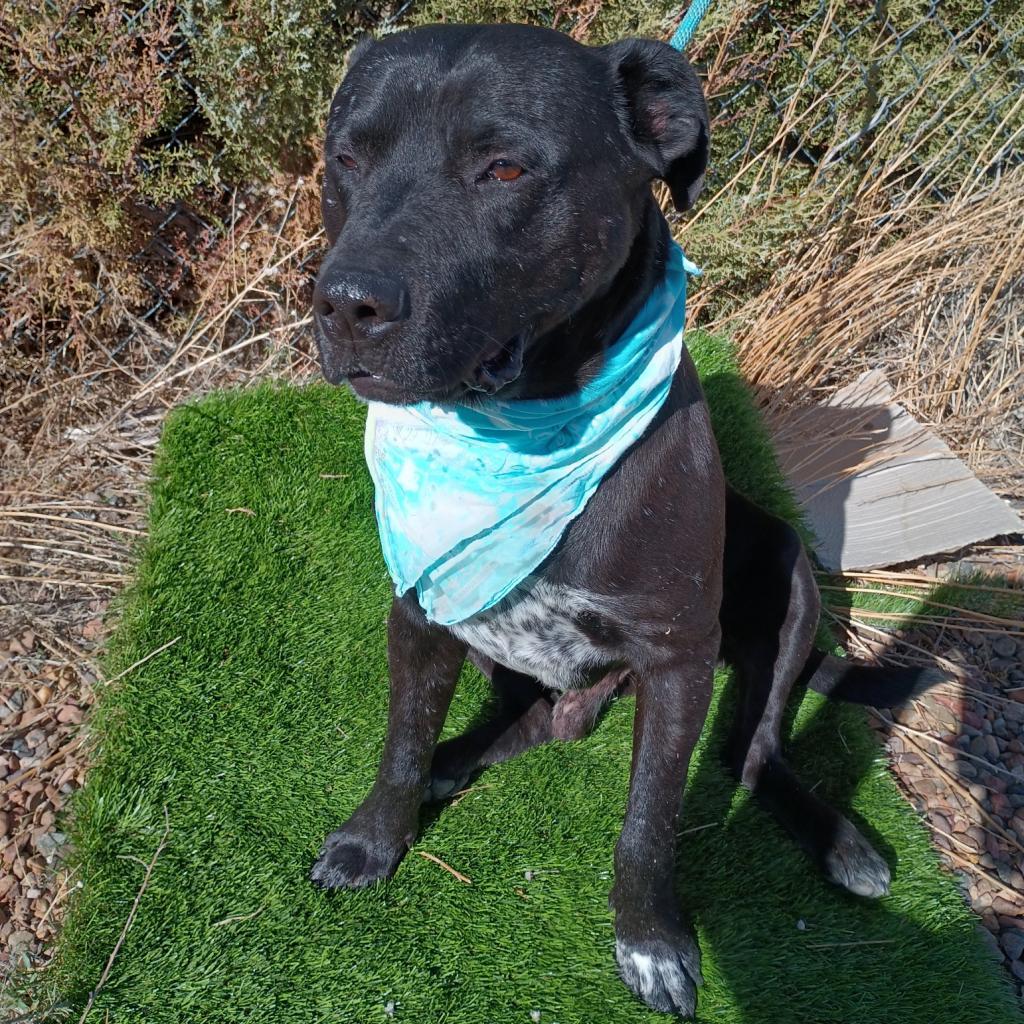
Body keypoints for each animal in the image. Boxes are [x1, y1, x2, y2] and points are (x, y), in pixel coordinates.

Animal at [309, 24, 942, 1015]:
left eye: (503, 169)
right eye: (346, 159)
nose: (343, 304)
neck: (527, 424)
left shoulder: (677, 661)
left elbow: (649, 820)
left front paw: (651, 942)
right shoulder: (422, 610)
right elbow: (401, 742)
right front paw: (377, 835)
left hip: (788, 580)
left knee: (750, 751)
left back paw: (839, 840)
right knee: (541, 718)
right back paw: (467, 751)